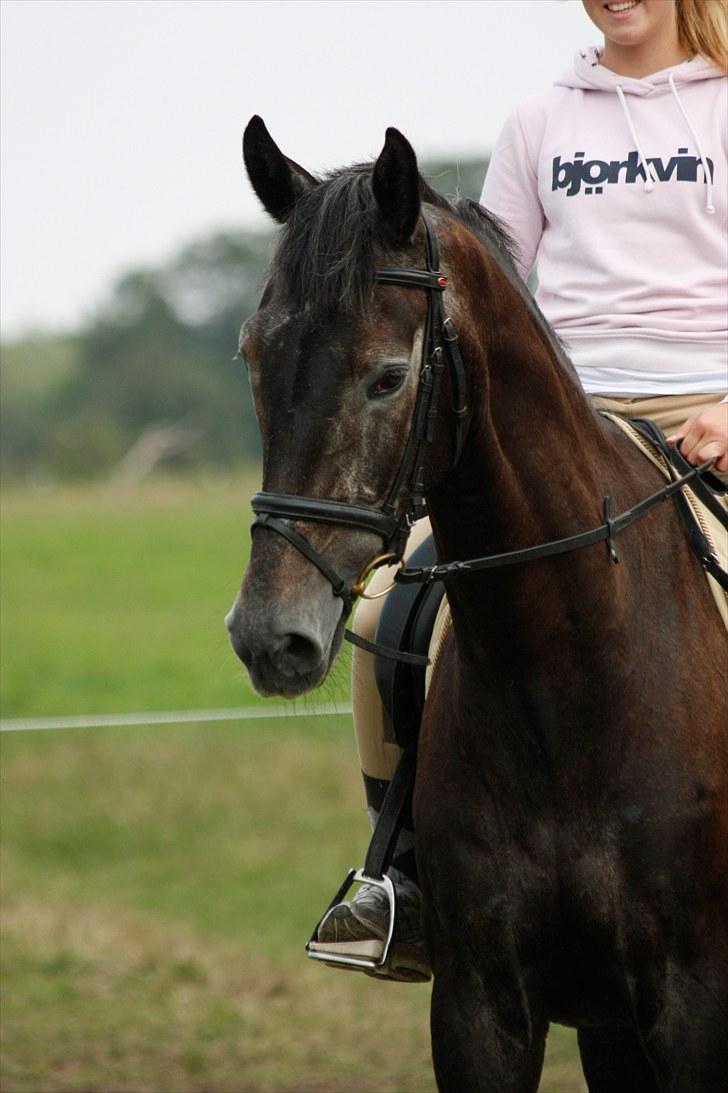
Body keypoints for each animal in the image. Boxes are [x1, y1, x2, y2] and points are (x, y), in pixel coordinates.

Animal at [227, 117, 725, 1093]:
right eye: (255, 356)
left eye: (387, 377)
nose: (269, 635)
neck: (572, 664)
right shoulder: (483, 1006)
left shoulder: (696, 1005)